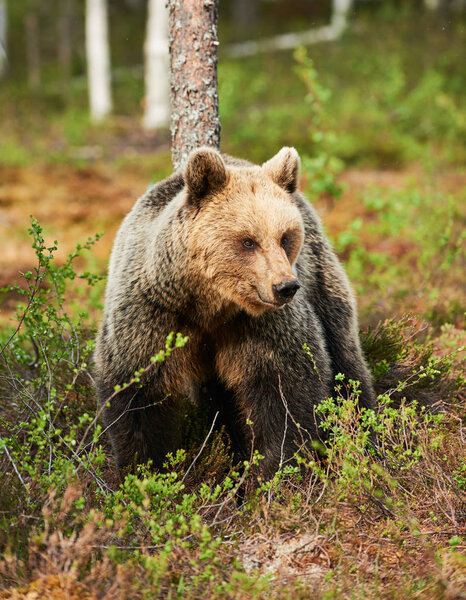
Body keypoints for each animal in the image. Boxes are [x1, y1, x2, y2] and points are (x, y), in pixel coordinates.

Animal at [94, 149, 374, 478]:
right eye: (248, 241)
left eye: (284, 237)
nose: (285, 287)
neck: (210, 305)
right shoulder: (152, 315)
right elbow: (137, 393)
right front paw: (143, 468)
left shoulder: (262, 325)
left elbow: (285, 389)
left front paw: (276, 467)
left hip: (320, 276)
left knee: (344, 355)